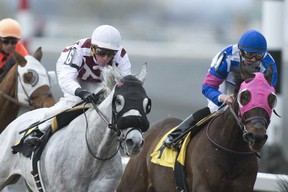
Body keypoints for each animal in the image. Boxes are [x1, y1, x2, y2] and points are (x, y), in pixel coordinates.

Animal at [117, 65, 276, 192]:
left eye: (272, 98)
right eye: (245, 96)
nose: (257, 136)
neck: (231, 153)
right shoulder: (204, 185)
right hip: (131, 184)